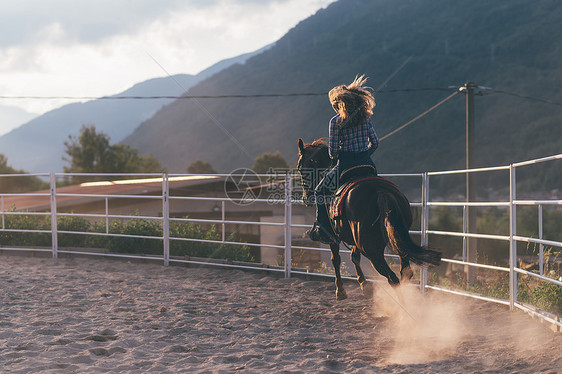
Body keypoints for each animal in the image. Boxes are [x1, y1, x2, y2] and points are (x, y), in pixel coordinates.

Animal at [296, 139, 440, 300]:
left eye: (300, 168)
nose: (306, 198)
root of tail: (381, 191)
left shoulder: (333, 236)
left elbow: (336, 259)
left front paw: (340, 291)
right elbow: (354, 256)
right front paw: (364, 284)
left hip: (371, 250)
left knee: (392, 278)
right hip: (397, 241)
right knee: (405, 273)